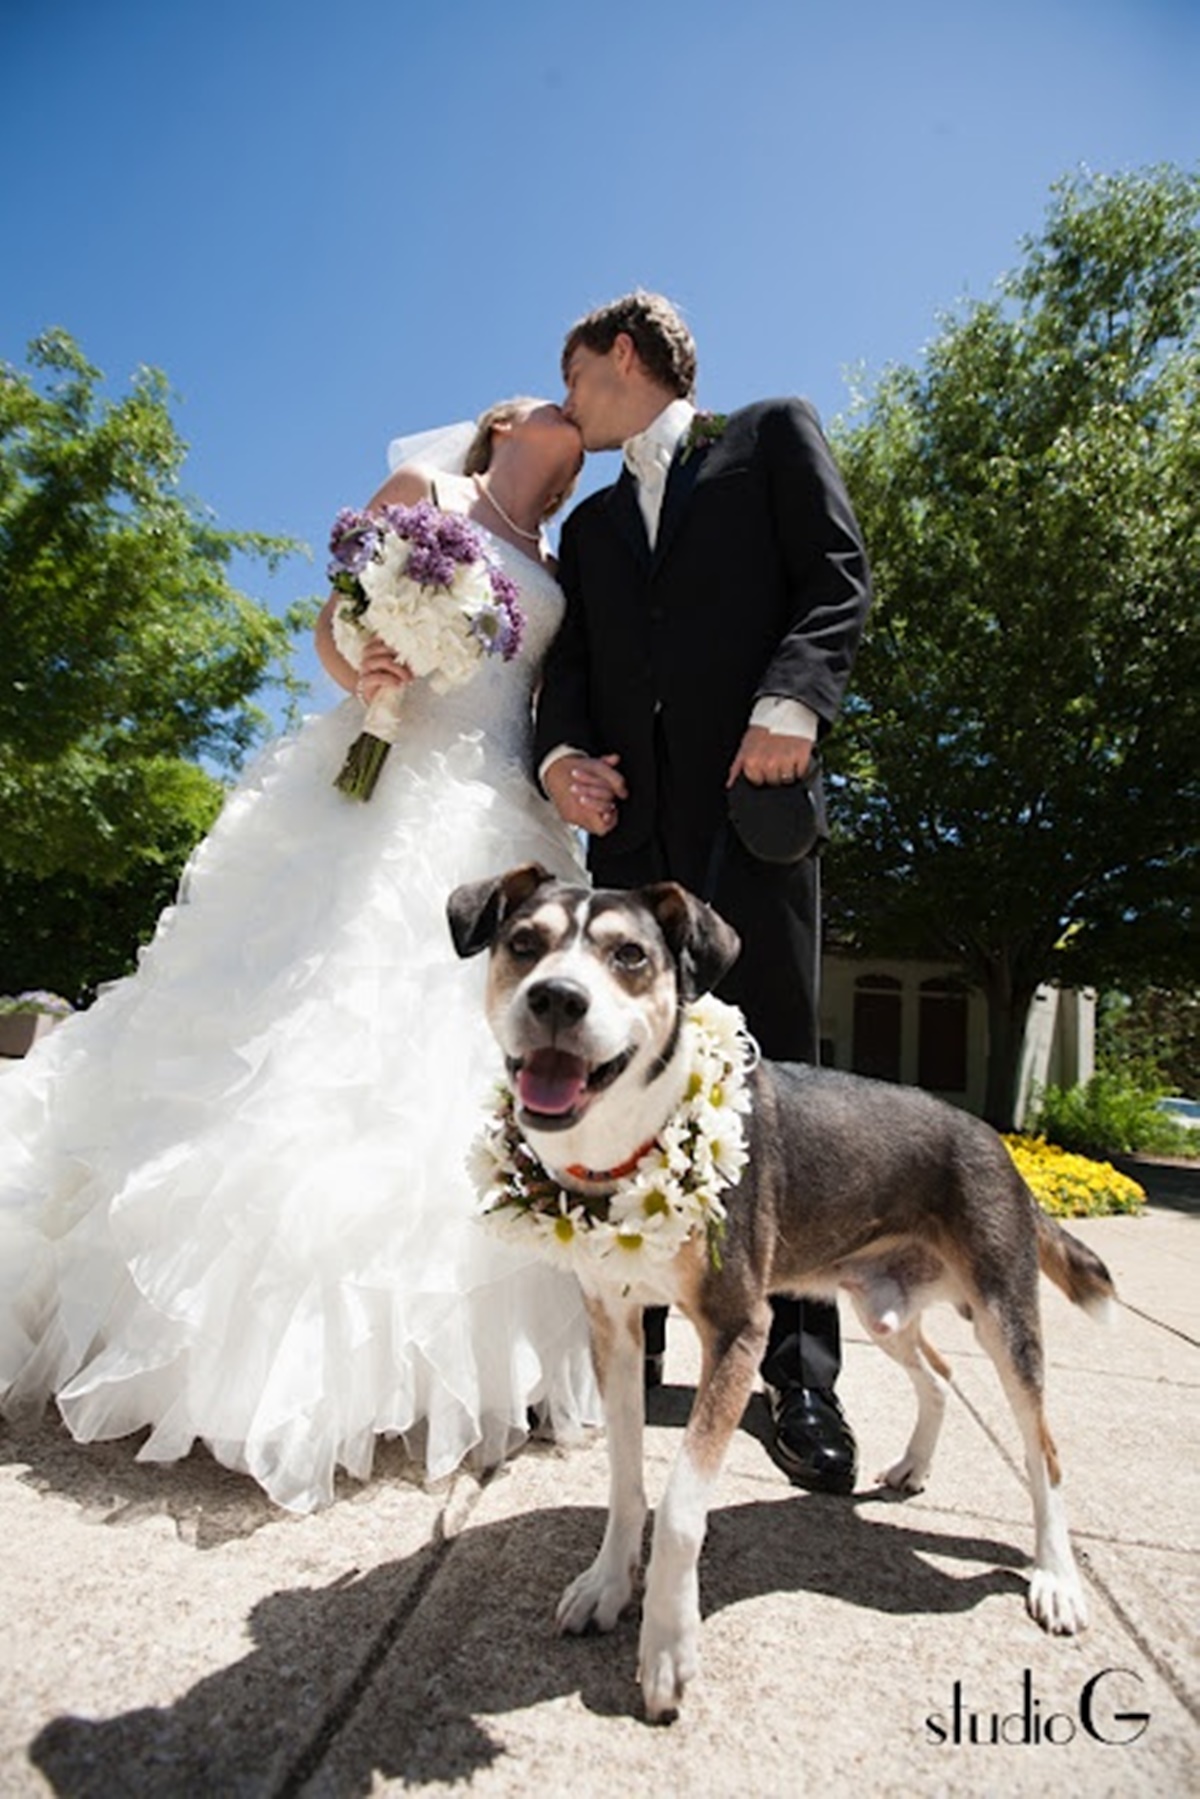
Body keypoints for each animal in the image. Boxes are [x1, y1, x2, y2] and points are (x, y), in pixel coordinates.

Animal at [447, 870, 1115, 1727]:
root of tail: (997, 1141)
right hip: (879, 1303)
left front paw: (667, 1647)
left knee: (1045, 1451)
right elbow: (627, 1482)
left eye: (629, 956)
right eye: (525, 943)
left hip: (1004, 1314)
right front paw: (607, 1585)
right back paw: (913, 1465)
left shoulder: (739, 1328)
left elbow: (681, 1506)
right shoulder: (616, 1325)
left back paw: (1057, 1578)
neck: (626, 1144)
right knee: (937, 1373)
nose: (557, 998)